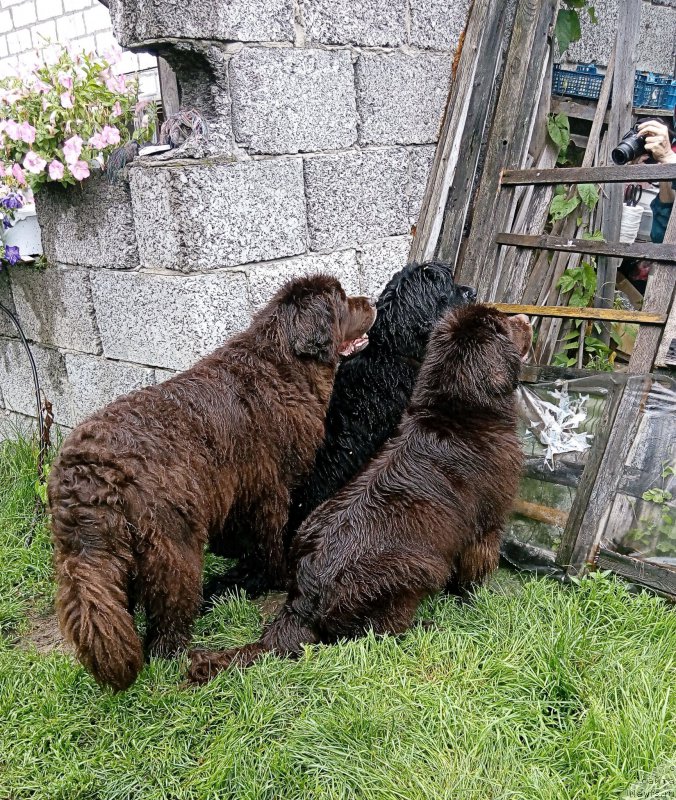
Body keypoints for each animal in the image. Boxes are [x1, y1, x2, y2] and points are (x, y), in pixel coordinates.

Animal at [47, 274, 374, 688]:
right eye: (342, 301)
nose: (371, 301)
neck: (282, 364)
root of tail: (89, 477)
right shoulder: (270, 489)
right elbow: (272, 540)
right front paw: (279, 575)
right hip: (174, 546)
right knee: (166, 628)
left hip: (95, 556)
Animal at [189, 306, 532, 680]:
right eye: (504, 325)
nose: (526, 319)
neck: (457, 412)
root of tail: (304, 600)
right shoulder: (487, 526)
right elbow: (475, 569)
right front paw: (473, 599)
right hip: (419, 568)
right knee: (378, 633)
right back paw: (424, 627)